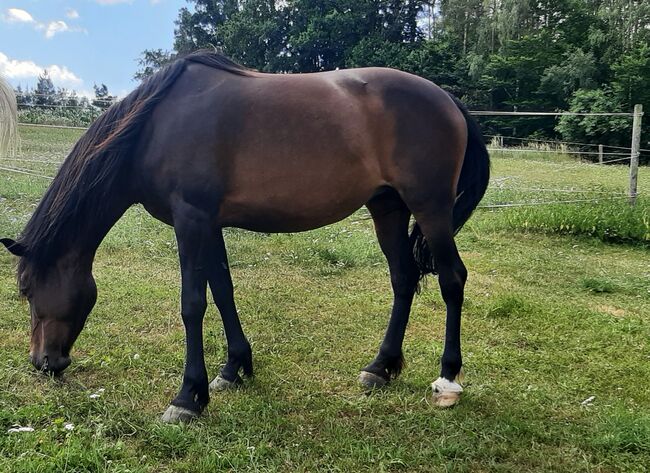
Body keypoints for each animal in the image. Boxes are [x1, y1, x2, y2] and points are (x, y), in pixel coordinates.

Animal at [1, 51, 489, 423]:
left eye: (26, 288)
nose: (43, 363)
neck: (154, 126)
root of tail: (447, 99)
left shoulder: (191, 221)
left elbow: (193, 304)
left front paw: (188, 397)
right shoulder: (209, 224)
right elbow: (223, 291)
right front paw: (234, 367)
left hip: (430, 208)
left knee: (452, 279)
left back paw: (448, 379)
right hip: (387, 207)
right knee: (403, 279)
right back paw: (381, 367)